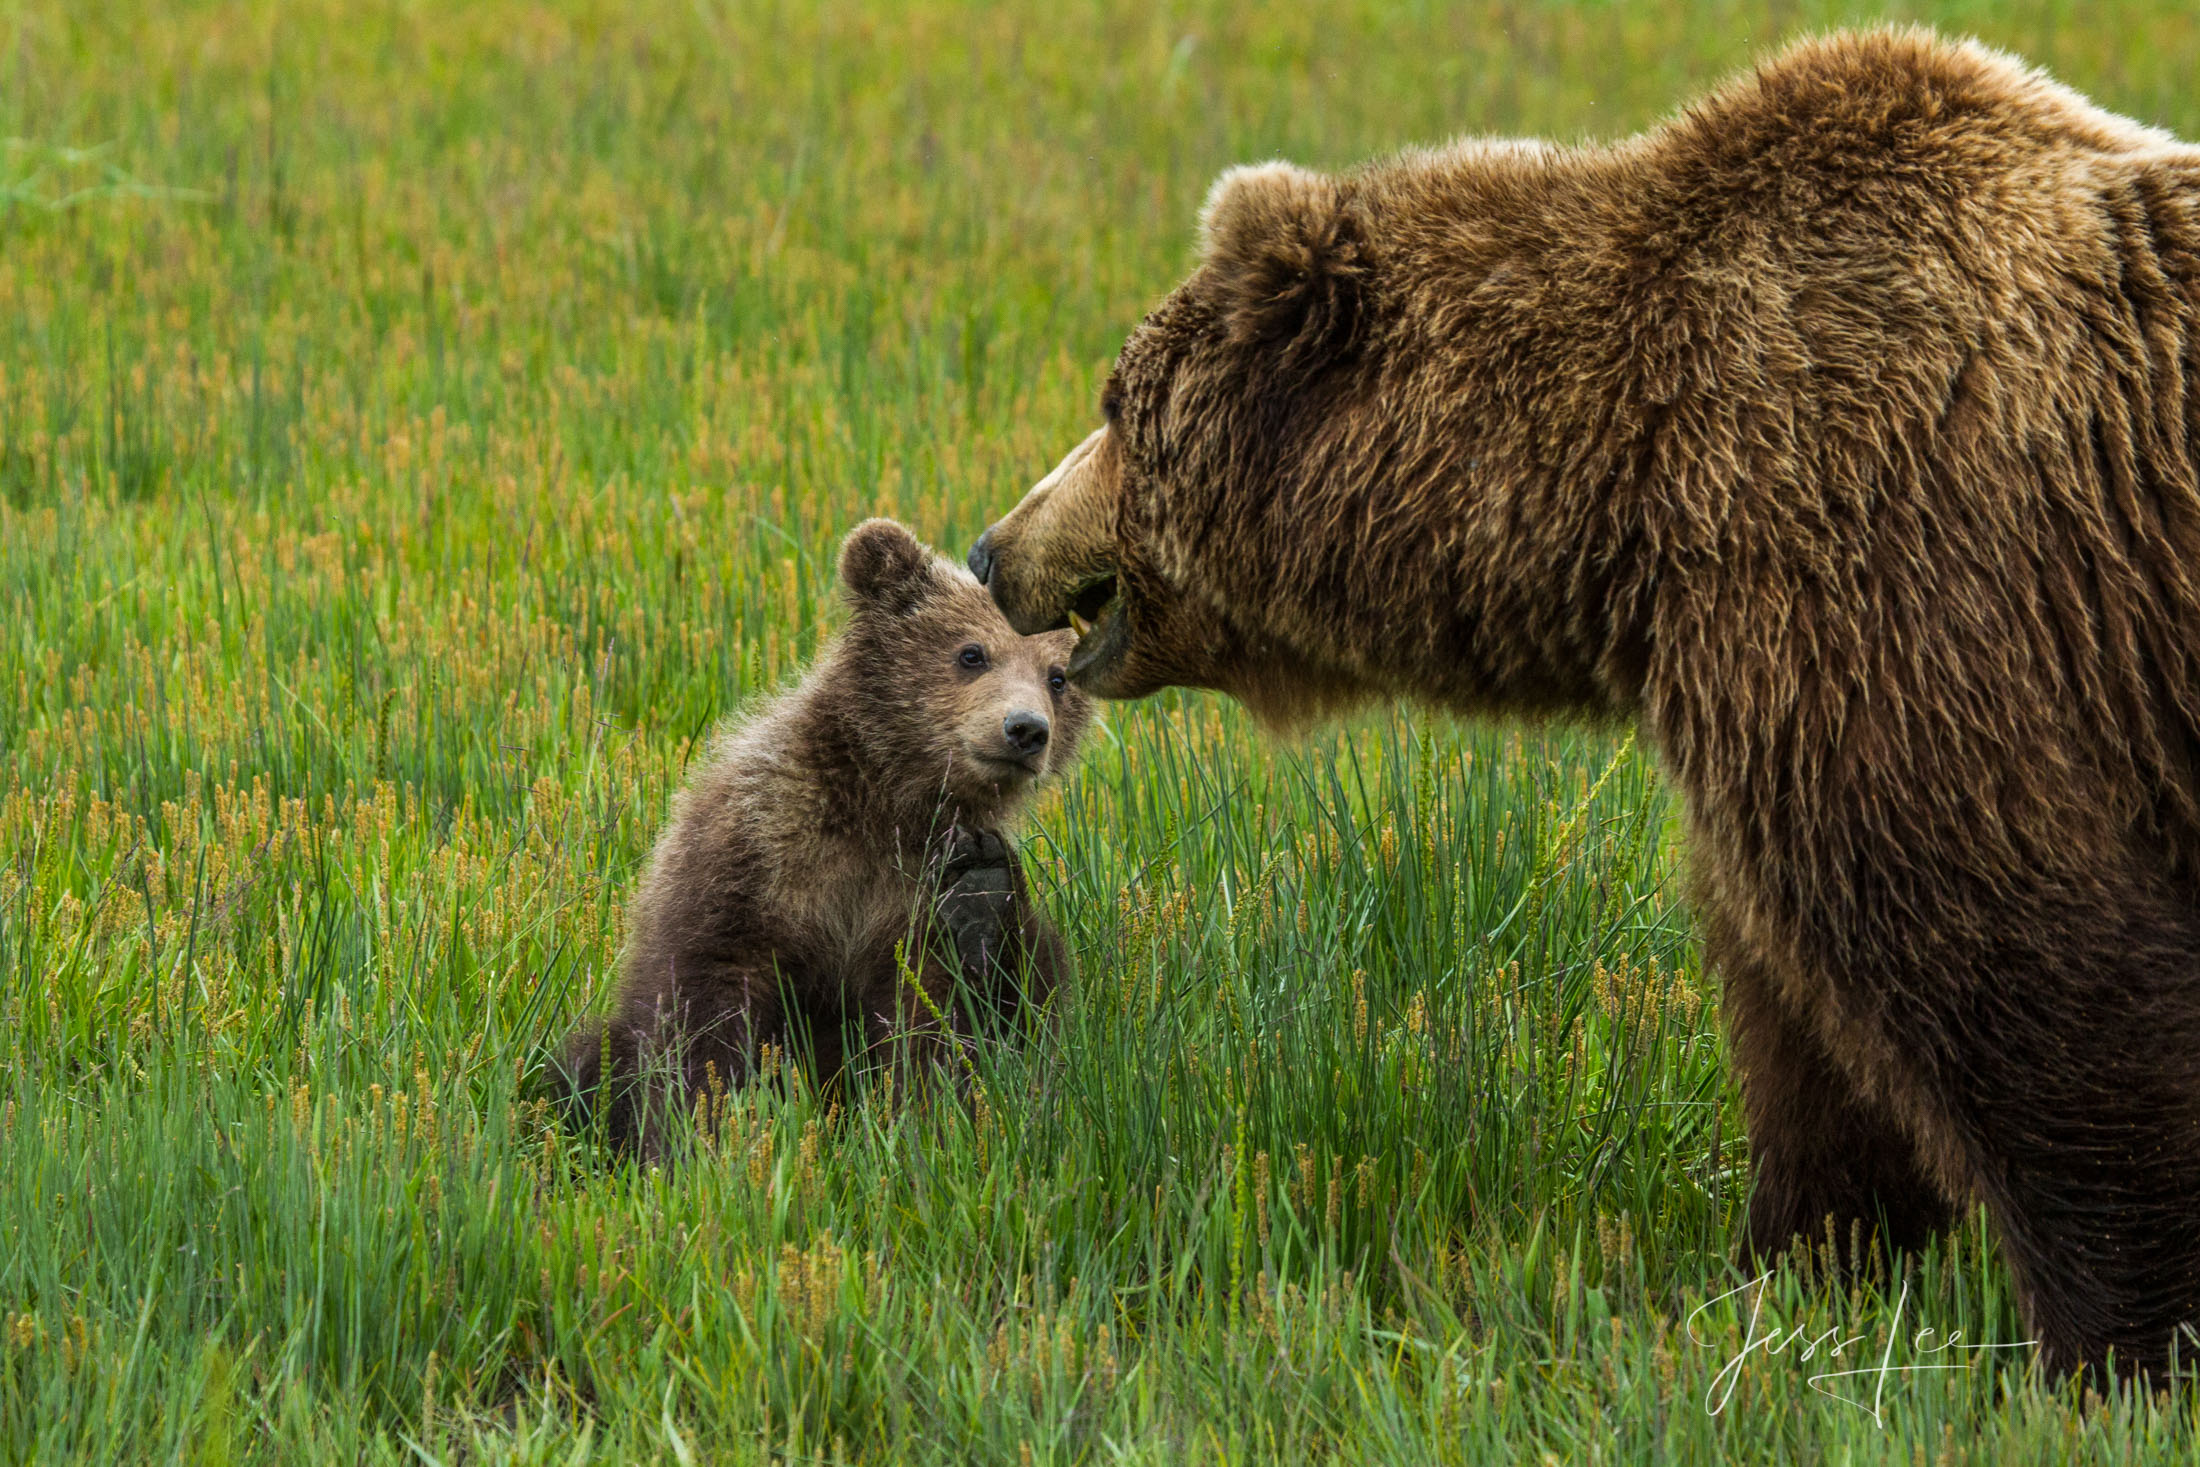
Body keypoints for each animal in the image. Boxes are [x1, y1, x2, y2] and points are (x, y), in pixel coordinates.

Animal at [972, 28, 2200, 1381]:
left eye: (1112, 405)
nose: (991, 547)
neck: (1628, 485)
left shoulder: (1886, 588)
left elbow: (2023, 971)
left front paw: (2112, 1350)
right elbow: (1807, 1031)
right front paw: (1788, 1274)